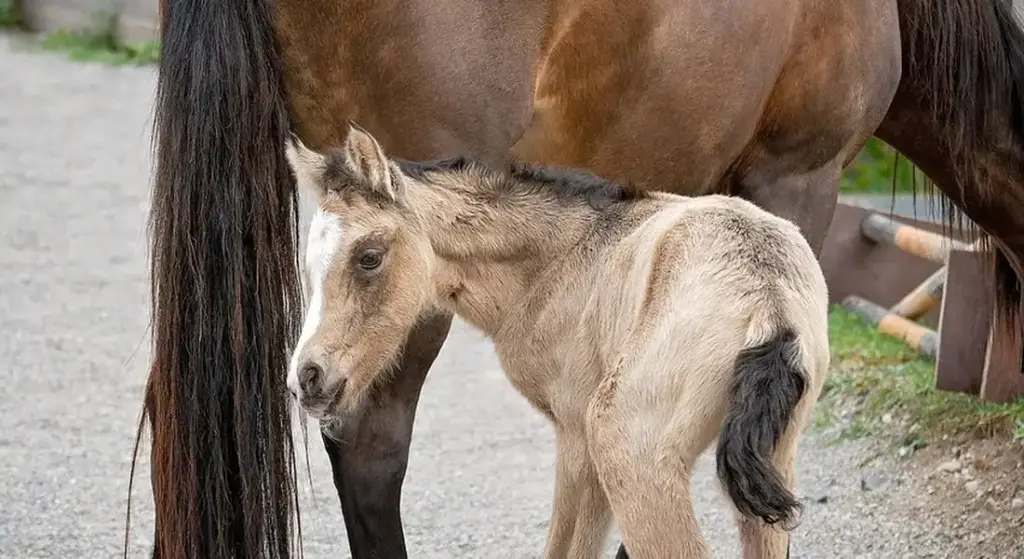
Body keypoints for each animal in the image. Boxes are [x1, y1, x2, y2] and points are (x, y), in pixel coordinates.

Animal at [283, 124, 831, 559]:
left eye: (369, 257)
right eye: (308, 265)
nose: (307, 378)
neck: (560, 256)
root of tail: (767, 300)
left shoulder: (575, 438)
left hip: (625, 444)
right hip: (775, 460)